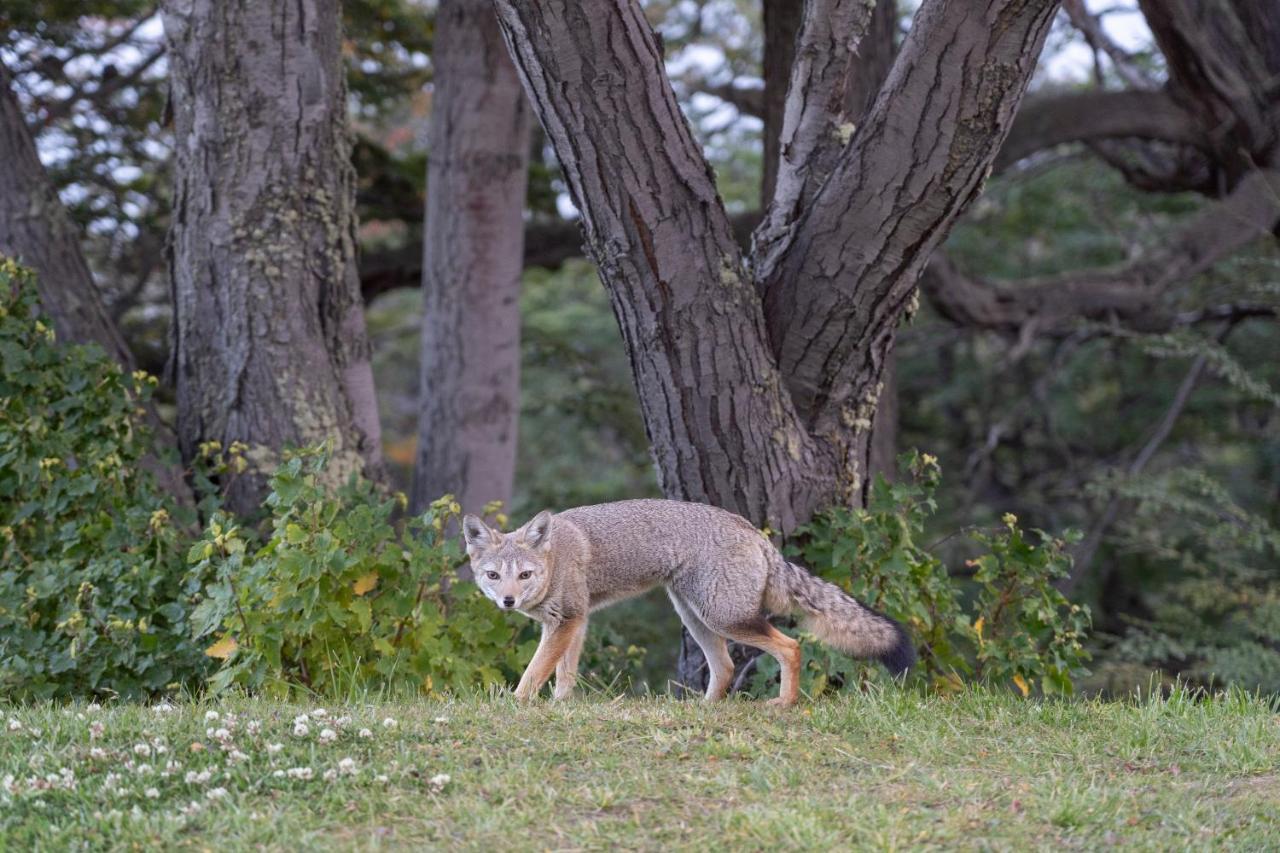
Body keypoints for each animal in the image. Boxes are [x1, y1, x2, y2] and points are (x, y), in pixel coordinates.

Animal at [465, 494, 916, 701]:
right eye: (493, 576)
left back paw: (782, 705)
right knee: (727, 666)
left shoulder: (567, 620)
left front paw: (518, 704)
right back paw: (705, 709)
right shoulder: (574, 620)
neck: (555, 558)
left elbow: (535, 671)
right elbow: (564, 673)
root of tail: (754, 531)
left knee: (791, 647)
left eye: (524, 575)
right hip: (695, 616)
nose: (507, 602)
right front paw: (560, 705)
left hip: (724, 618)